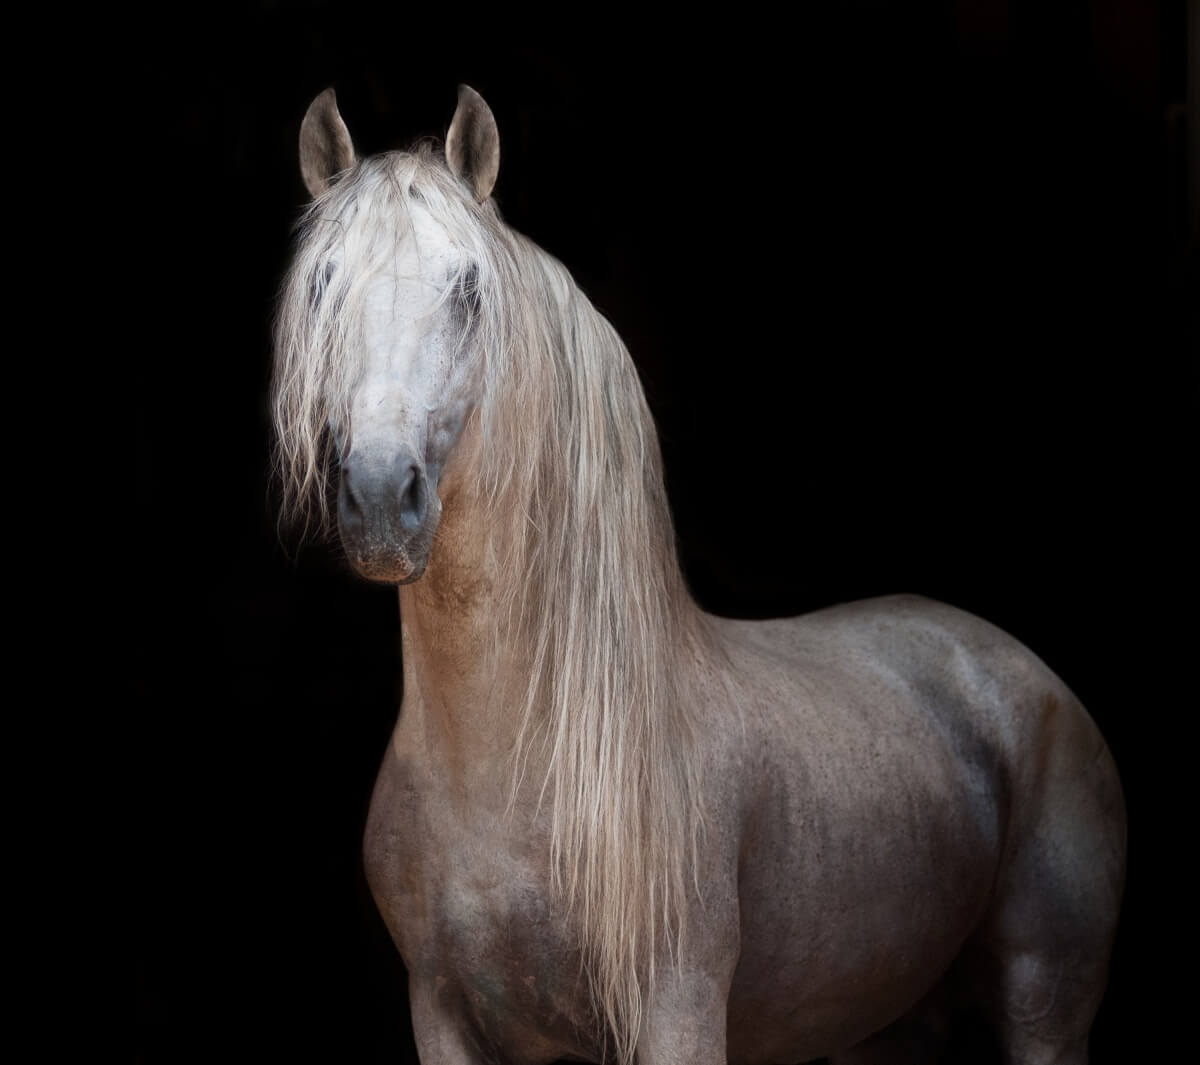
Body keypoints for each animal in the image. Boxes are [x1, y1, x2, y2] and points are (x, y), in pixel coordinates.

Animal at [272, 85, 1126, 1065]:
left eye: (469, 290)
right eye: (323, 283)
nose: (381, 493)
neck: (507, 768)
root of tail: (1024, 670)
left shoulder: (677, 1008)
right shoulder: (443, 1013)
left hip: (1047, 1007)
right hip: (887, 1020)